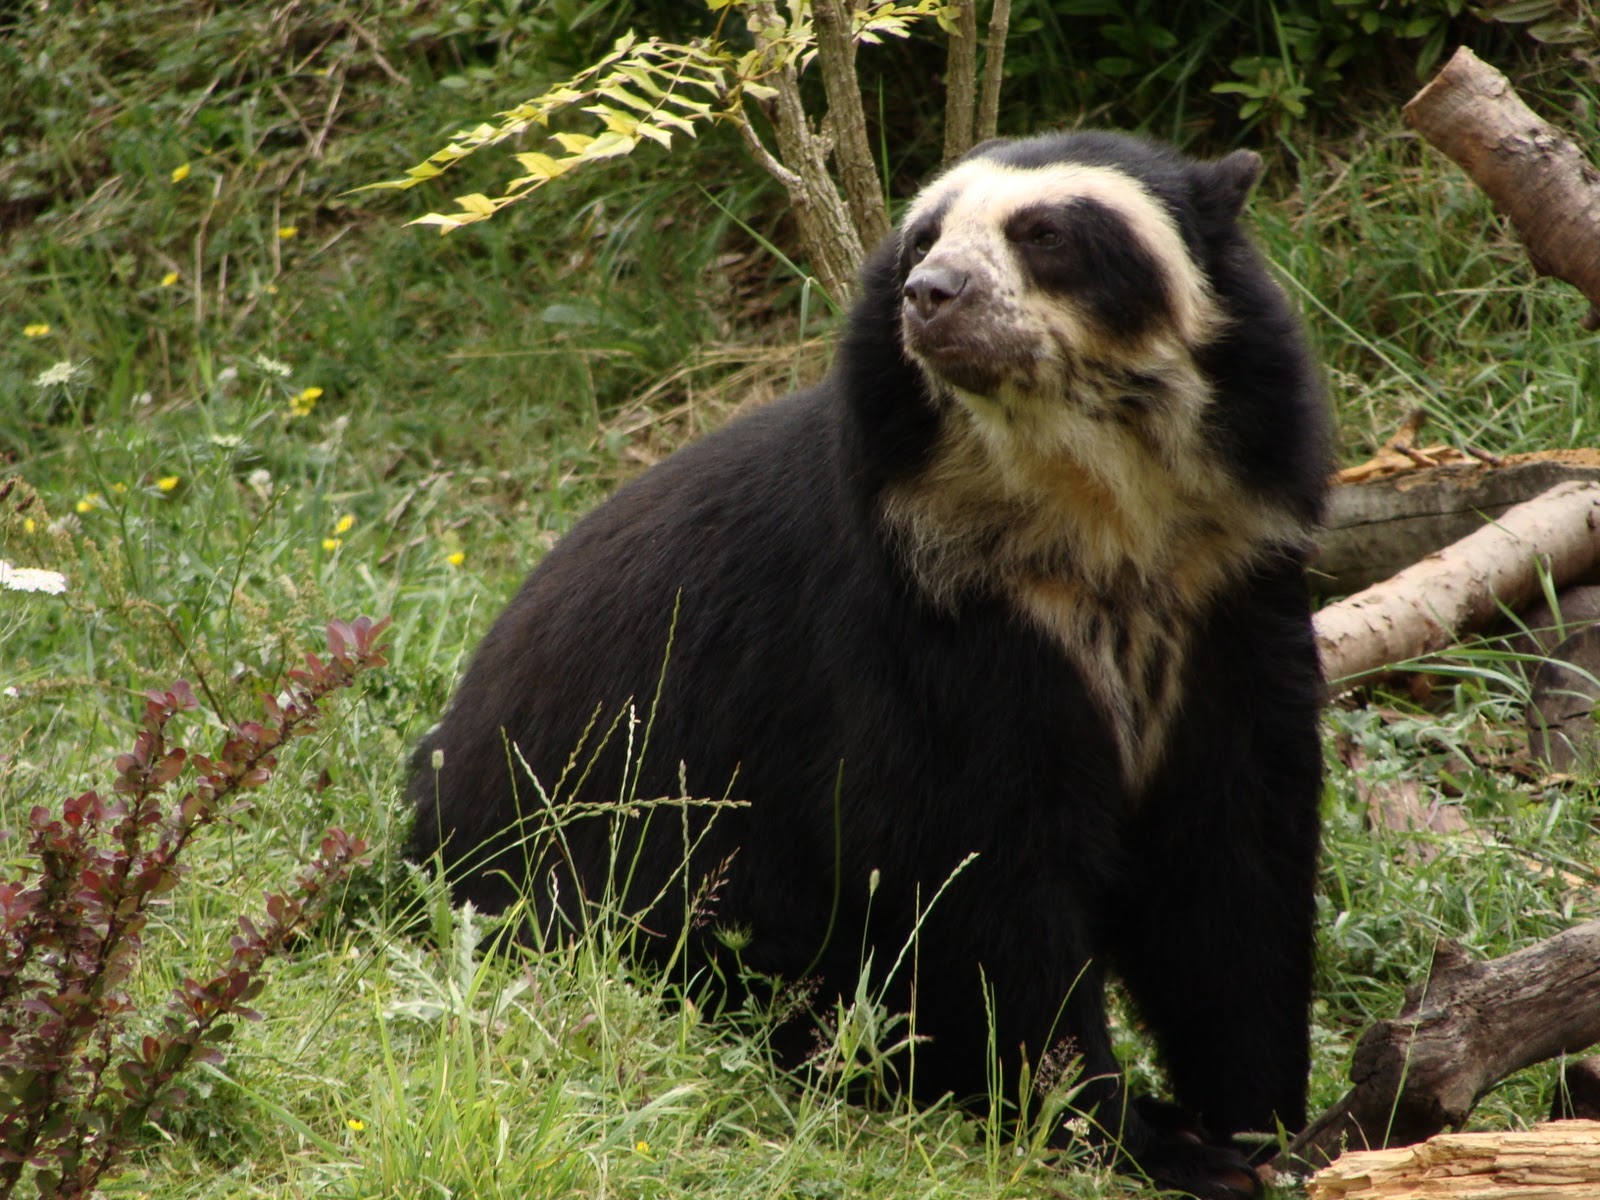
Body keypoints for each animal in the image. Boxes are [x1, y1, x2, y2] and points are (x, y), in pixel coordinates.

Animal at [410, 130, 1331, 1200]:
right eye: (923, 239)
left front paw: (1265, 1130)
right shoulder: (934, 629)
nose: (930, 295)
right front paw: (1127, 1133)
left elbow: (1235, 856)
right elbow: (975, 870)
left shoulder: (1228, 591)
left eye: (1045, 234)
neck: (1089, 515)